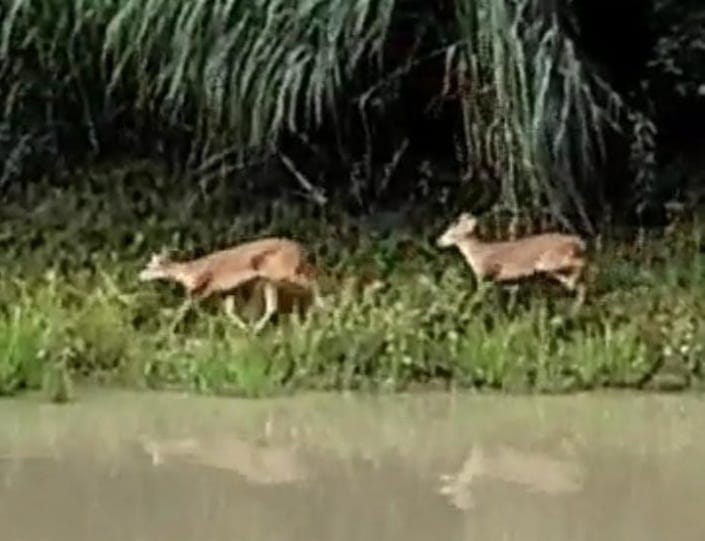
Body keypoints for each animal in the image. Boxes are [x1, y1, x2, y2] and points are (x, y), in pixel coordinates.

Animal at [138, 237, 323, 333]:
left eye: (149, 266)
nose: (140, 276)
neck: (189, 272)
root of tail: (300, 248)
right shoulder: (226, 291)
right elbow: (229, 312)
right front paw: (243, 328)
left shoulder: (203, 287)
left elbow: (184, 307)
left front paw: (167, 328)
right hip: (271, 279)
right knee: (273, 306)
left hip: (284, 272)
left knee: (313, 281)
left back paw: (321, 309)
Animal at [436, 212, 589, 304]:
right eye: (445, 231)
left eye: (451, 234)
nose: (438, 241)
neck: (476, 253)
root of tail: (576, 240)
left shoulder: (486, 273)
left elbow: (479, 294)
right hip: (550, 268)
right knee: (579, 282)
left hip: (550, 261)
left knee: (582, 263)